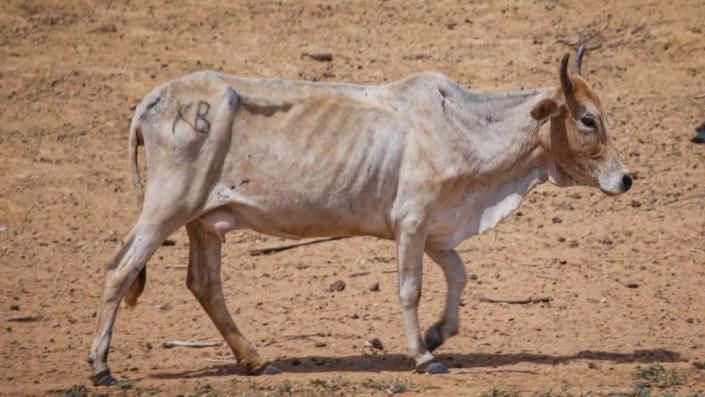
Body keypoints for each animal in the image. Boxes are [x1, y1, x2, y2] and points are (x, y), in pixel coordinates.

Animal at [88, 46, 632, 384]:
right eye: (588, 119)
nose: (625, 178)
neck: (466, 126)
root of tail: (157, 97)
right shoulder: (411, 222)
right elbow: (410, 289)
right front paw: (422, 355)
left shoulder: (436, 229)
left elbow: (458, 275)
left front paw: (438, 333)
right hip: (167, 206)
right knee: (119, 270)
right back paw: (101, 367)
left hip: (204, 220)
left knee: (204, 284)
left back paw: (255, 360)